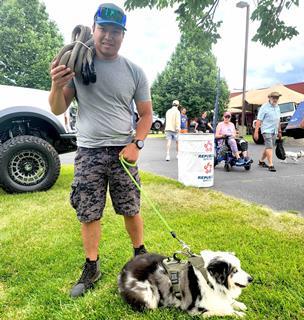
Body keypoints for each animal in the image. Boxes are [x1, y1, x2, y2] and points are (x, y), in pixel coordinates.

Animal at [117, 250, 253, 318]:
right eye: (234, 271)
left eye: (239, 268)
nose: (251, 279)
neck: (208, 279)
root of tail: (123, 271)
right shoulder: (196, 310)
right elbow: (224, 310)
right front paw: (239, 314)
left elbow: (228, 301)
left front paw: (239, 305)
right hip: (148, 296)